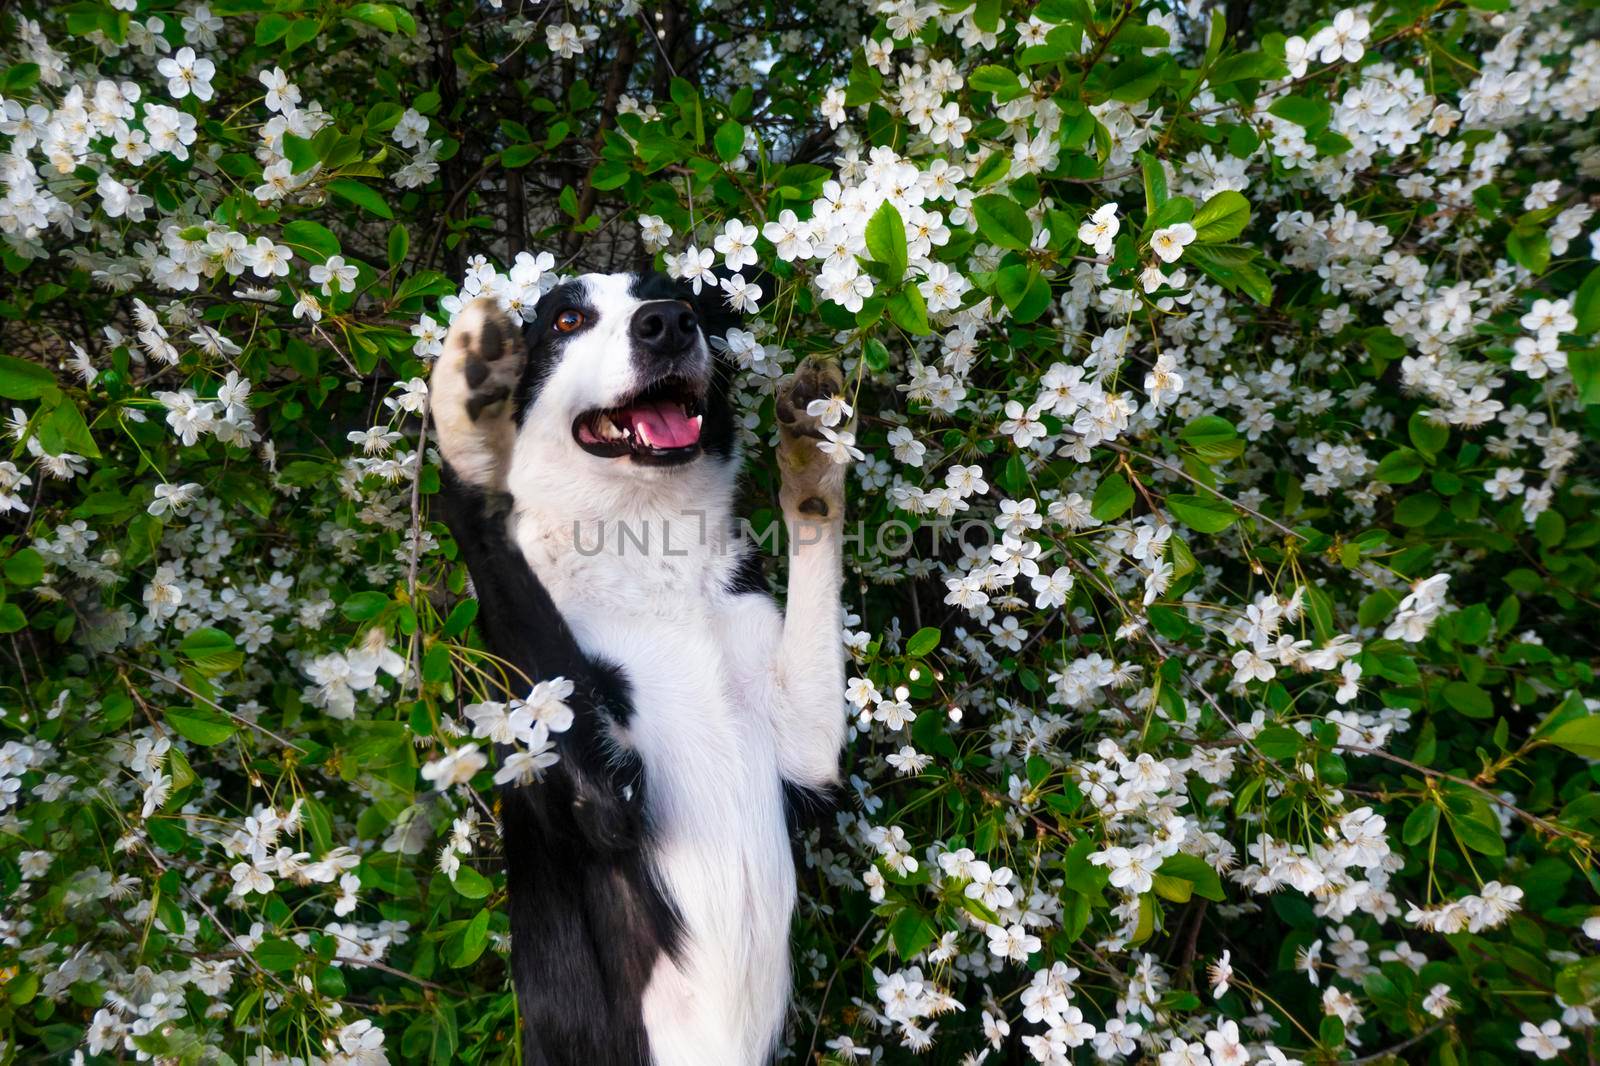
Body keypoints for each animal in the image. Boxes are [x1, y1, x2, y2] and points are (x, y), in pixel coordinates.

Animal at [425, 272, 851, 1062]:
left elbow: (815, 526)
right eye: (566, 319)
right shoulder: (606, 798)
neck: (641, 536)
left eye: (681, 296)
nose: (667, 324)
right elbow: (491, 527)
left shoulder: (808, 747)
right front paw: (467, 419)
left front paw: (814, 454)